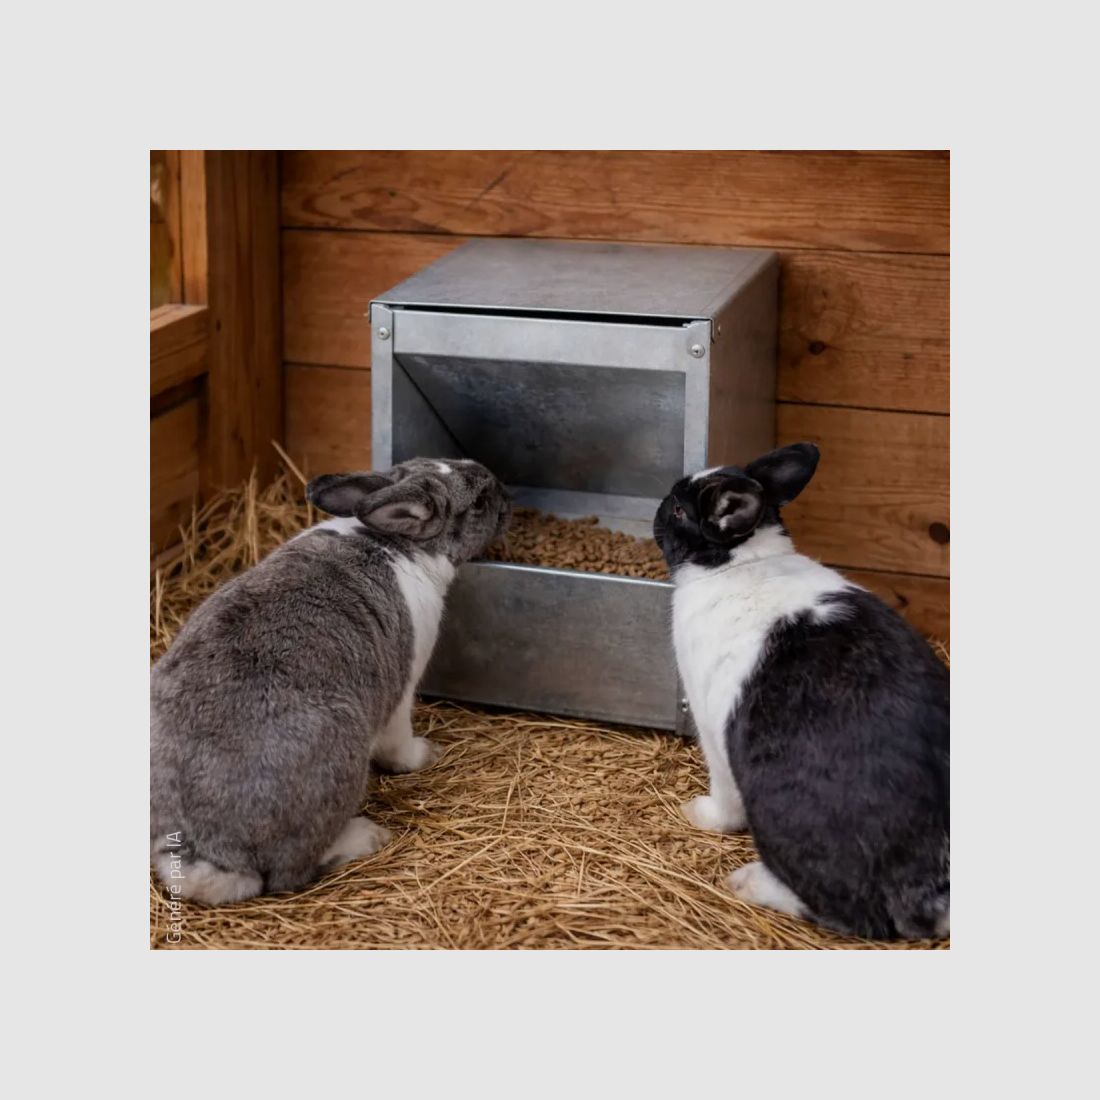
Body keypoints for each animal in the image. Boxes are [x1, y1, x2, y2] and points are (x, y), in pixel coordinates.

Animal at [151, 457, 511, 905]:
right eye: (478, 501)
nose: (508, 500)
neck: (397, 542)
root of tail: (209, 852)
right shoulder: (402, 691)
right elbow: (398, 745)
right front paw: (426, 754)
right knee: (293, 871)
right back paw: (366, 837)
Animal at [653, 443, 949, 940]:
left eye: (678, 510)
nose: (658, 510)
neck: (741, 561)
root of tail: (930, 888)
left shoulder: (713, 733)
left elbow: (723, 800)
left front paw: (698, 813)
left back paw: (749, 882)